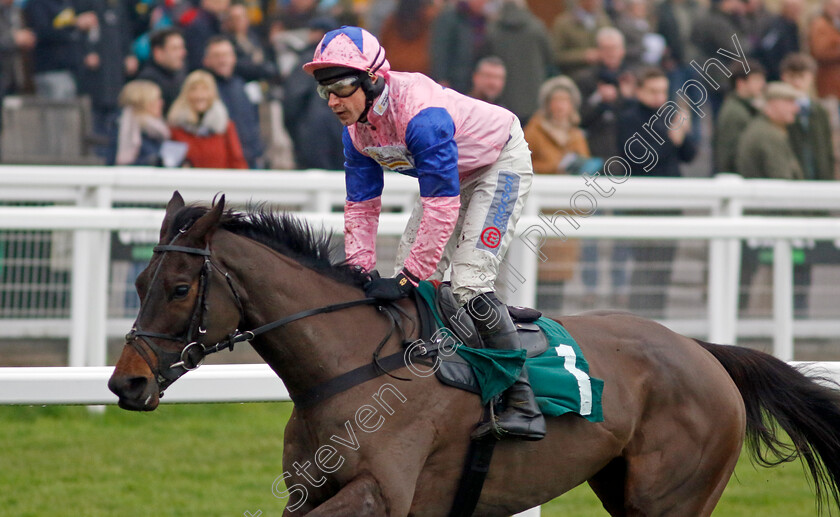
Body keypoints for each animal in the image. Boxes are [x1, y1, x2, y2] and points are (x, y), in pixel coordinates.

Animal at [110, 194, 840, 516]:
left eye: (180, 288)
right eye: (141, 282)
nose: (126, 383)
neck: (349, 367)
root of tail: (703, 350)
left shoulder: (381, 495)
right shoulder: (307, 491)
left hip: (673, 500)